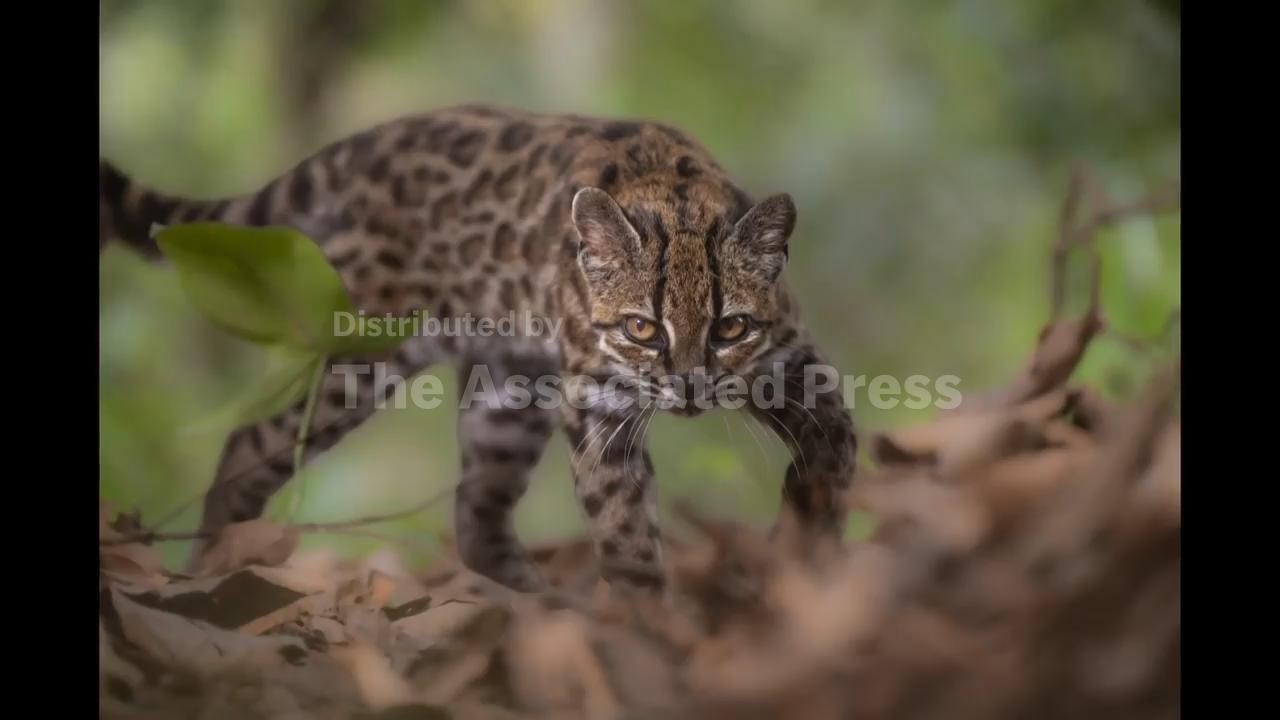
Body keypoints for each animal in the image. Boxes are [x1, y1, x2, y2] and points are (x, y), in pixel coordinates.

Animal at [99, 102, 859, 598]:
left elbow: (834, 451)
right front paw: (653, 628)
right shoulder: (598, 411)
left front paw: (807, 540)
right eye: (642, 329)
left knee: (476, 512)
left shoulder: (795, 364)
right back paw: (207, 569)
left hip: (507, 395)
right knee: (250, 443)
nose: (690, 387)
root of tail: (372, 140)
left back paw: (538, 602)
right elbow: (625, 532)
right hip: (362, 352)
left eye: (731, 328)